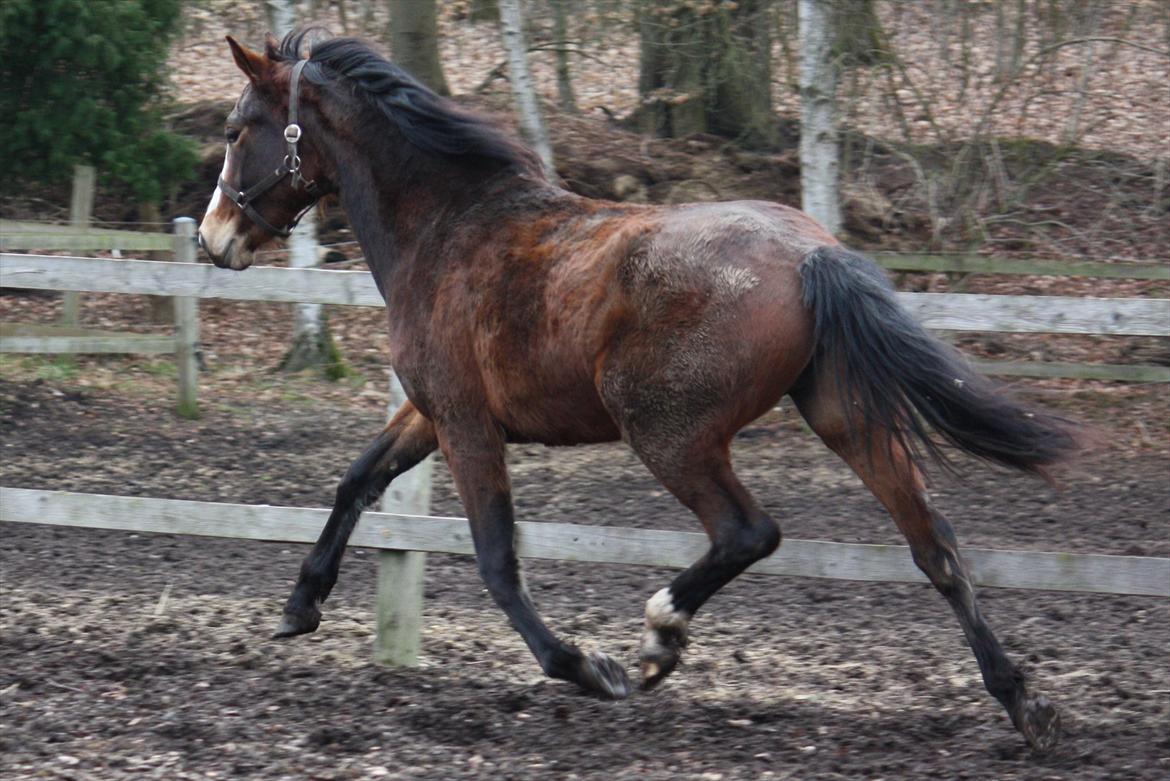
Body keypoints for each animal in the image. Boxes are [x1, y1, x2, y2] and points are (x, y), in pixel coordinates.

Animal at [194, 30, 1076, 748]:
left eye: (237, 130)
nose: (211, 240)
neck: (446, 227)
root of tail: (811, 255)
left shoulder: (467, 424)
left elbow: (496, 559)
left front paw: (588, 666)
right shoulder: (428, 412)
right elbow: (356, 481)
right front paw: (299, 607)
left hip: (668, 433)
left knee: (749, 531)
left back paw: (657, 640)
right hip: (844, 418)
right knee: (936, 548)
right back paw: (1024, 704)